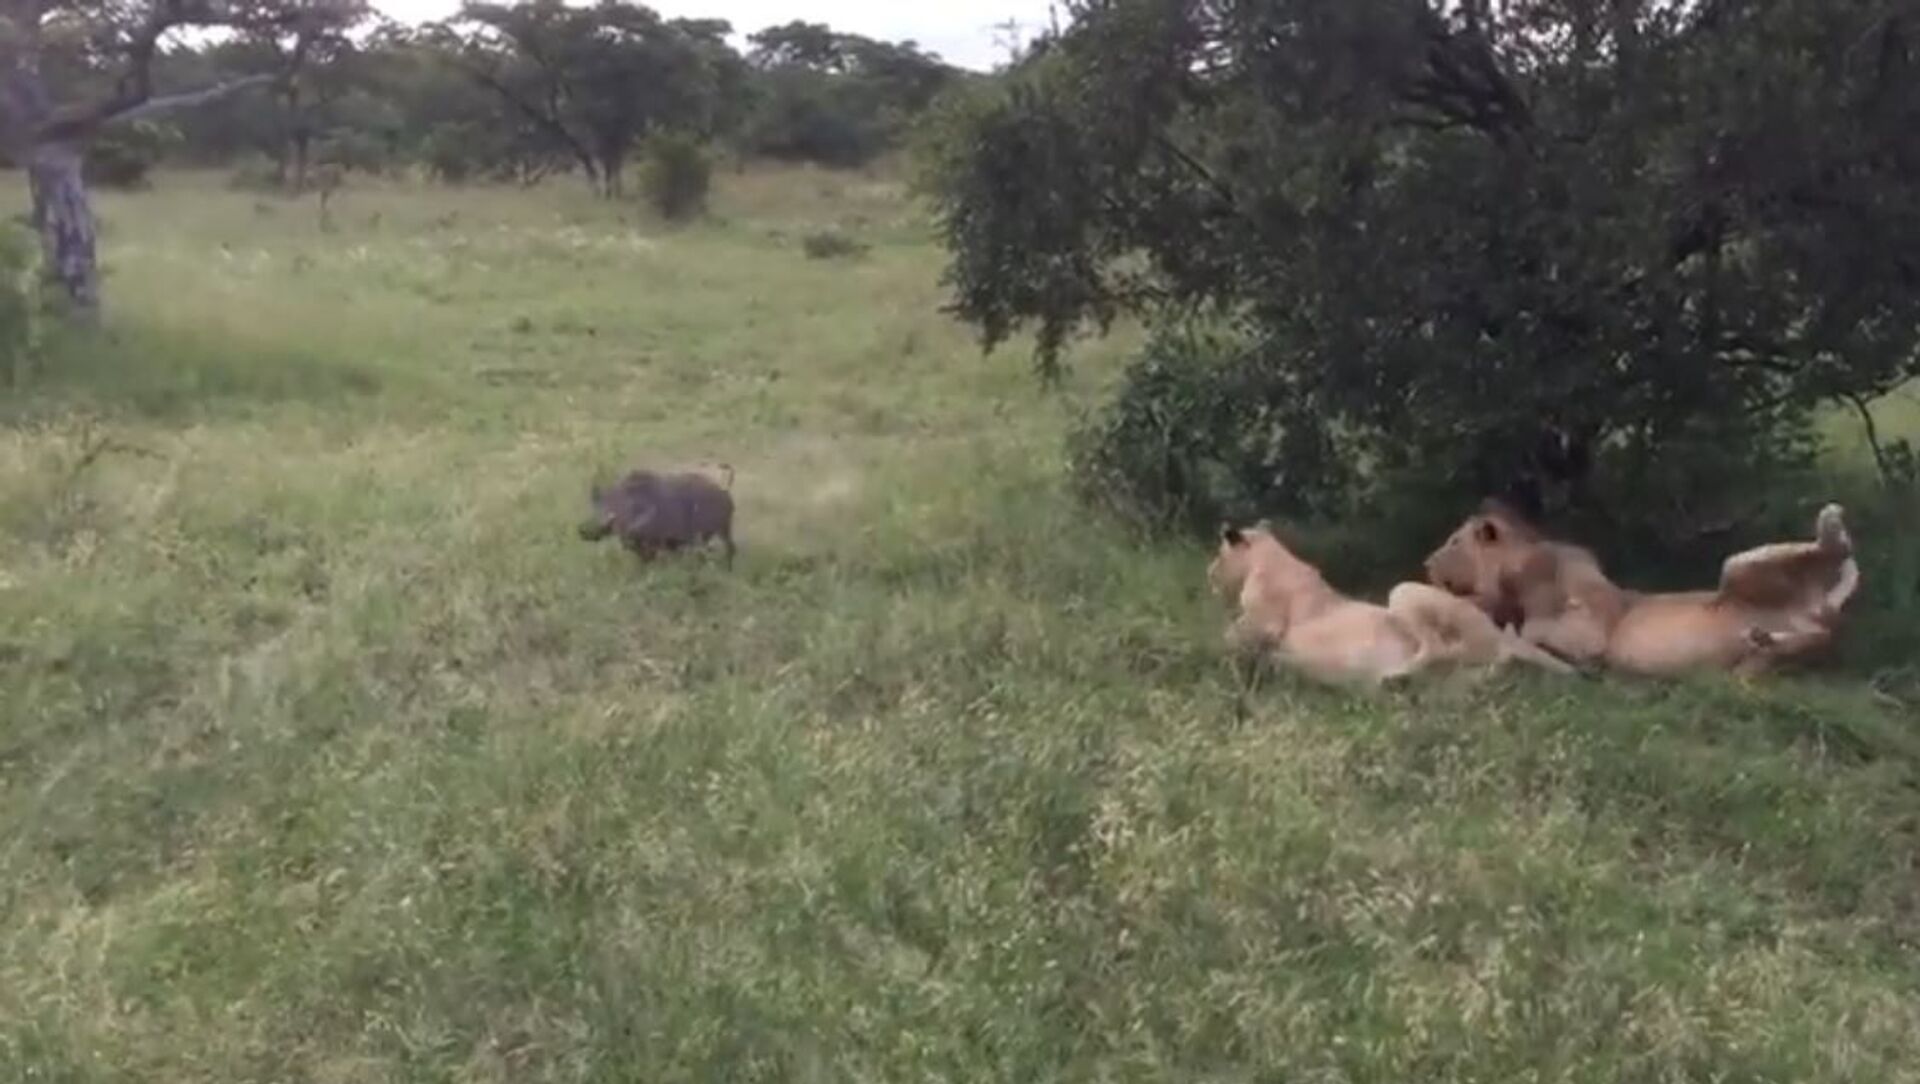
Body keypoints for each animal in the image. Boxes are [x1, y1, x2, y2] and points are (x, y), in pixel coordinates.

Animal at [1209, 522, 1575, 688]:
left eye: (1219, 552)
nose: (1208, 572)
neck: (1266, 559)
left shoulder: (1262, 621)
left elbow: (1226, 636)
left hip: (1403, 592)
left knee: (1440, 648)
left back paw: (1388, 676)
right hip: (1460, 674)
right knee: (1483, 668)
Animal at [1423, 500, 1859, 677]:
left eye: (1453, 541)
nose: (1426, 563)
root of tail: (1818, 604)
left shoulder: (1592, 628)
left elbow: (1538, 629)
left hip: (1739, 566)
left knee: (1838, 553)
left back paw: (1831, 523)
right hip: (1750, 670)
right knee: (1812, 634)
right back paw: (1765, 636)